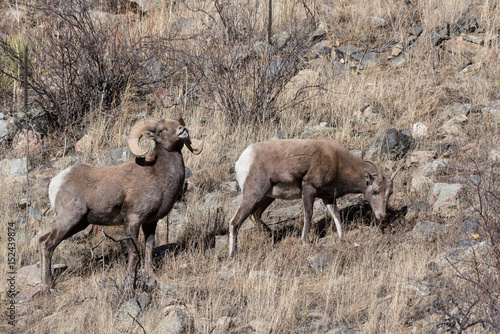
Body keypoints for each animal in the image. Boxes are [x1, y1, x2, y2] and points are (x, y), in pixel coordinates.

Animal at [39, 117, 202, 288]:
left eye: (177, 124)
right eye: (162, 130)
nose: (182, 129)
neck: (157, 174)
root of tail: (56, 182)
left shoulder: (151, 222)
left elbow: (149, 248)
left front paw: (151, 274)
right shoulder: (132, 220)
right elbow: (134, 252)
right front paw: (130, 279)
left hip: (78, 224)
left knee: (42, 241)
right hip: (69, 219)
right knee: (48, 244)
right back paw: (48, 284)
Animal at [229, 138, 400, 256]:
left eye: (390, 193)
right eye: (375, 191)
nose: (381, 215)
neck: (336, 160)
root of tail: (242, 160)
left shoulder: (328, 198)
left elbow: (336, 216)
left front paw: (342, 237)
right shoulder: (309, 189)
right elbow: (308, 214)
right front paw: (304, 241)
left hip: (267, 197)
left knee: (255, 214)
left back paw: (270, 237)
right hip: (254, 195)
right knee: (234, 222)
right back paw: (233, 254)